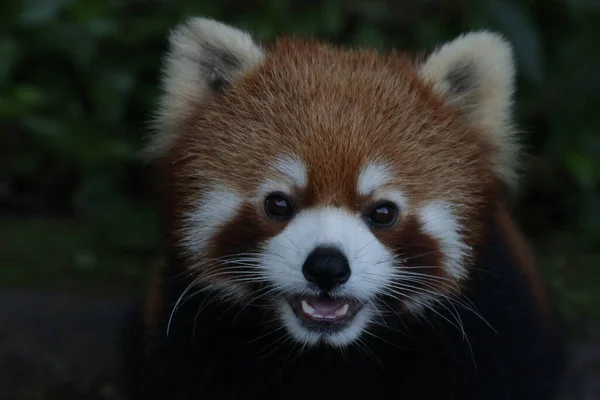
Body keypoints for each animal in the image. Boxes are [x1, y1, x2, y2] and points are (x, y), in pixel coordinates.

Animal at [123, 16, 568, 400]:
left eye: (383, 212)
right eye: (278, 204)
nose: (326, 266)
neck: (331, 354)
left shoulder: (493, 332)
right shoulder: (189, 338)